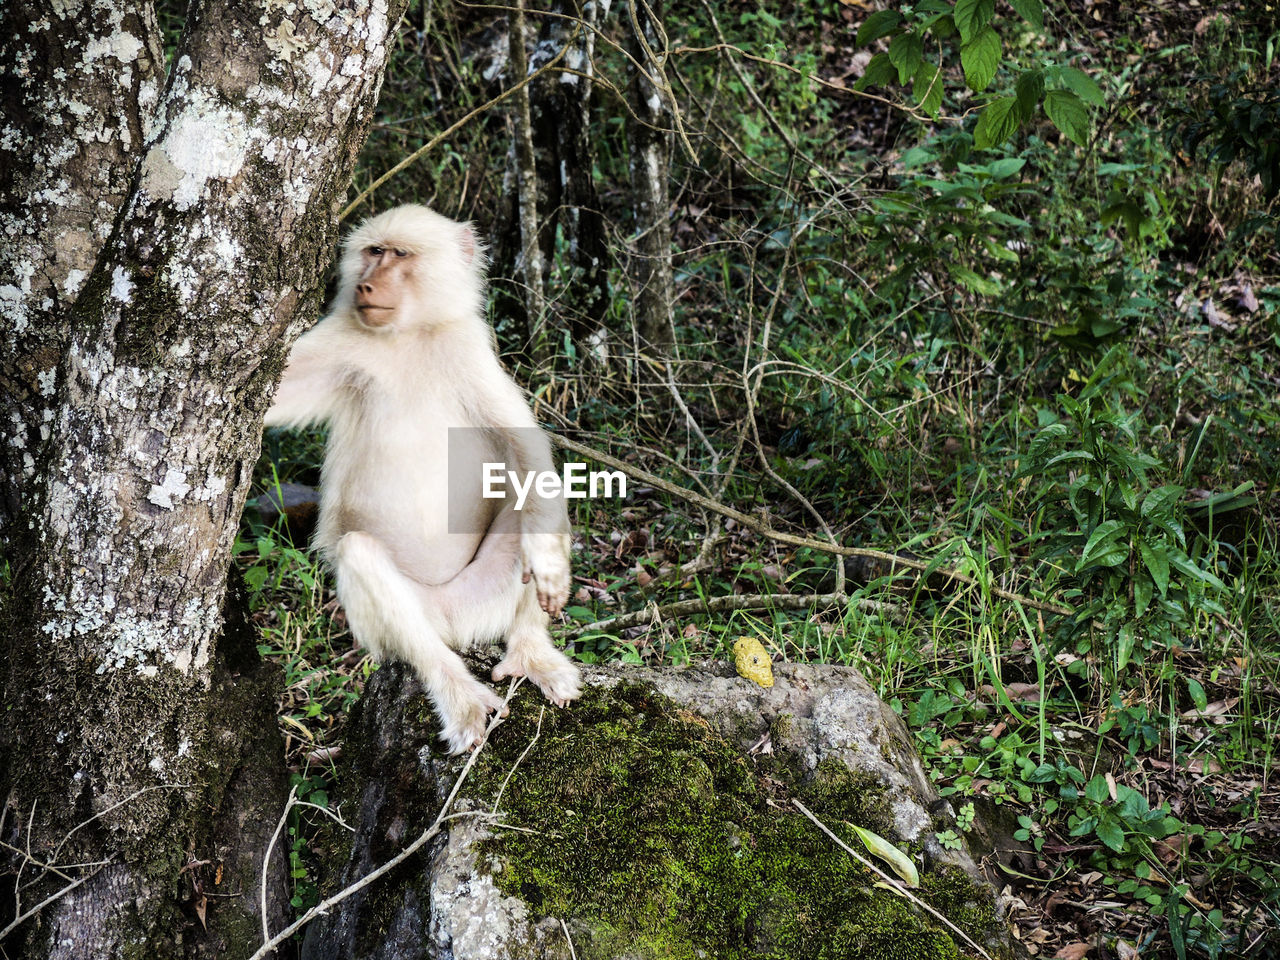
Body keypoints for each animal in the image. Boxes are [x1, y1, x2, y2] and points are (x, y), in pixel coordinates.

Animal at [267, 207, 583, 757]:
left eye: (400, 254)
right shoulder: (343, 338)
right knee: (367, 563)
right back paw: (458, 691)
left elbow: (524, 445)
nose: (367, 285)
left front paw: (546, 560)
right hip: (406, 622)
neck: (410, 334)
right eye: (374, 252)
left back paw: (530, 649)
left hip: (481, 597)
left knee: (527, 502)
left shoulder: (466, 345)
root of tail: (454, 622)